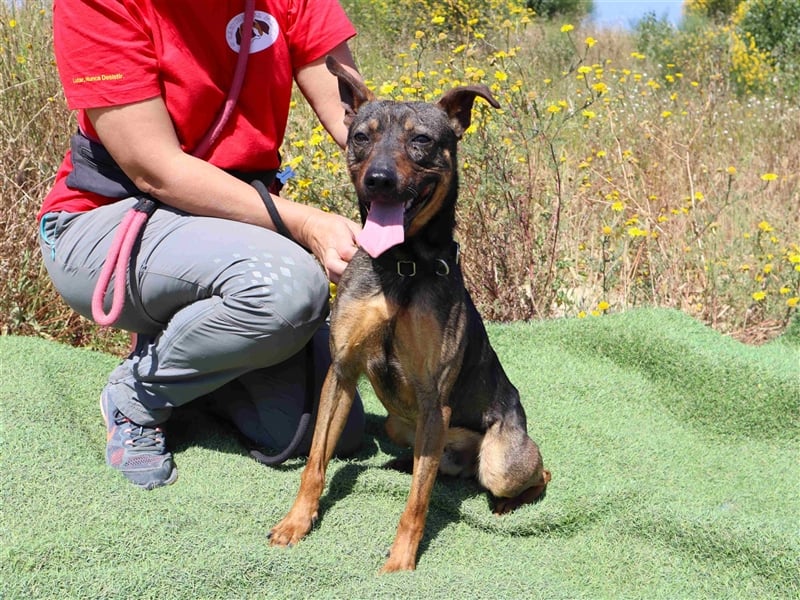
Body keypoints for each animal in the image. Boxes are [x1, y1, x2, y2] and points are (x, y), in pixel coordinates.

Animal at [268, 56, 552, 572]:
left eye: (421, 139)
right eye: (361, 136)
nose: (378, 179)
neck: (399, 265)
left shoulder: (434, 398)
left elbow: (417, 502)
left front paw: (401, 562)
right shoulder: (341, 373)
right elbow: (316, 462)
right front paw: (296, 522)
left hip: (500, 459)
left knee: (535, 473)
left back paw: (506, 504)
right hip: (401, 424)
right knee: (433, 466)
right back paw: (406, 463)